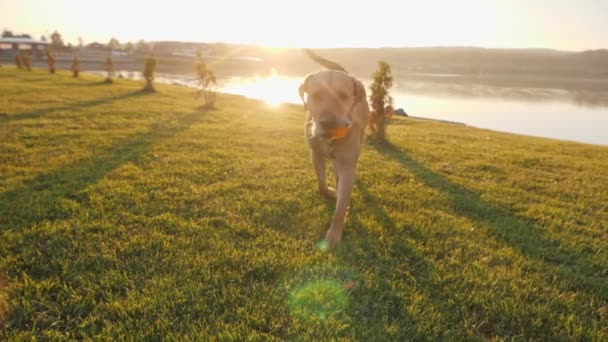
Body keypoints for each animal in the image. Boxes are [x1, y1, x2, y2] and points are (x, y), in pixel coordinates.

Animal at [300, 49, 370, 247]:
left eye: (344, 96)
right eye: (316, 95)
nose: (329, 124)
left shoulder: (347, 164)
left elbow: (341, 206)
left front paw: (334, 234)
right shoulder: (315, 153)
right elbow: (321, 182)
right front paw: (330, 192)